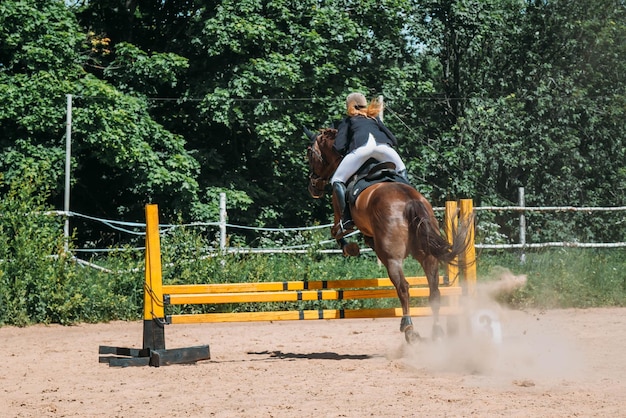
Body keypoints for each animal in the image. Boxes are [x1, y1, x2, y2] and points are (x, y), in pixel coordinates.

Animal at [304, 127, 470, 342]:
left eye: (310, 153)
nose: (313, 187)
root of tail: (410, 201)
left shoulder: (339, 211)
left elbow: (337, 231)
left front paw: (350, 248)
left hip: (392, 259)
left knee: (404, 287)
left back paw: (408, 328)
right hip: (427, 254)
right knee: (434, 291)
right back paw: (437, 331)